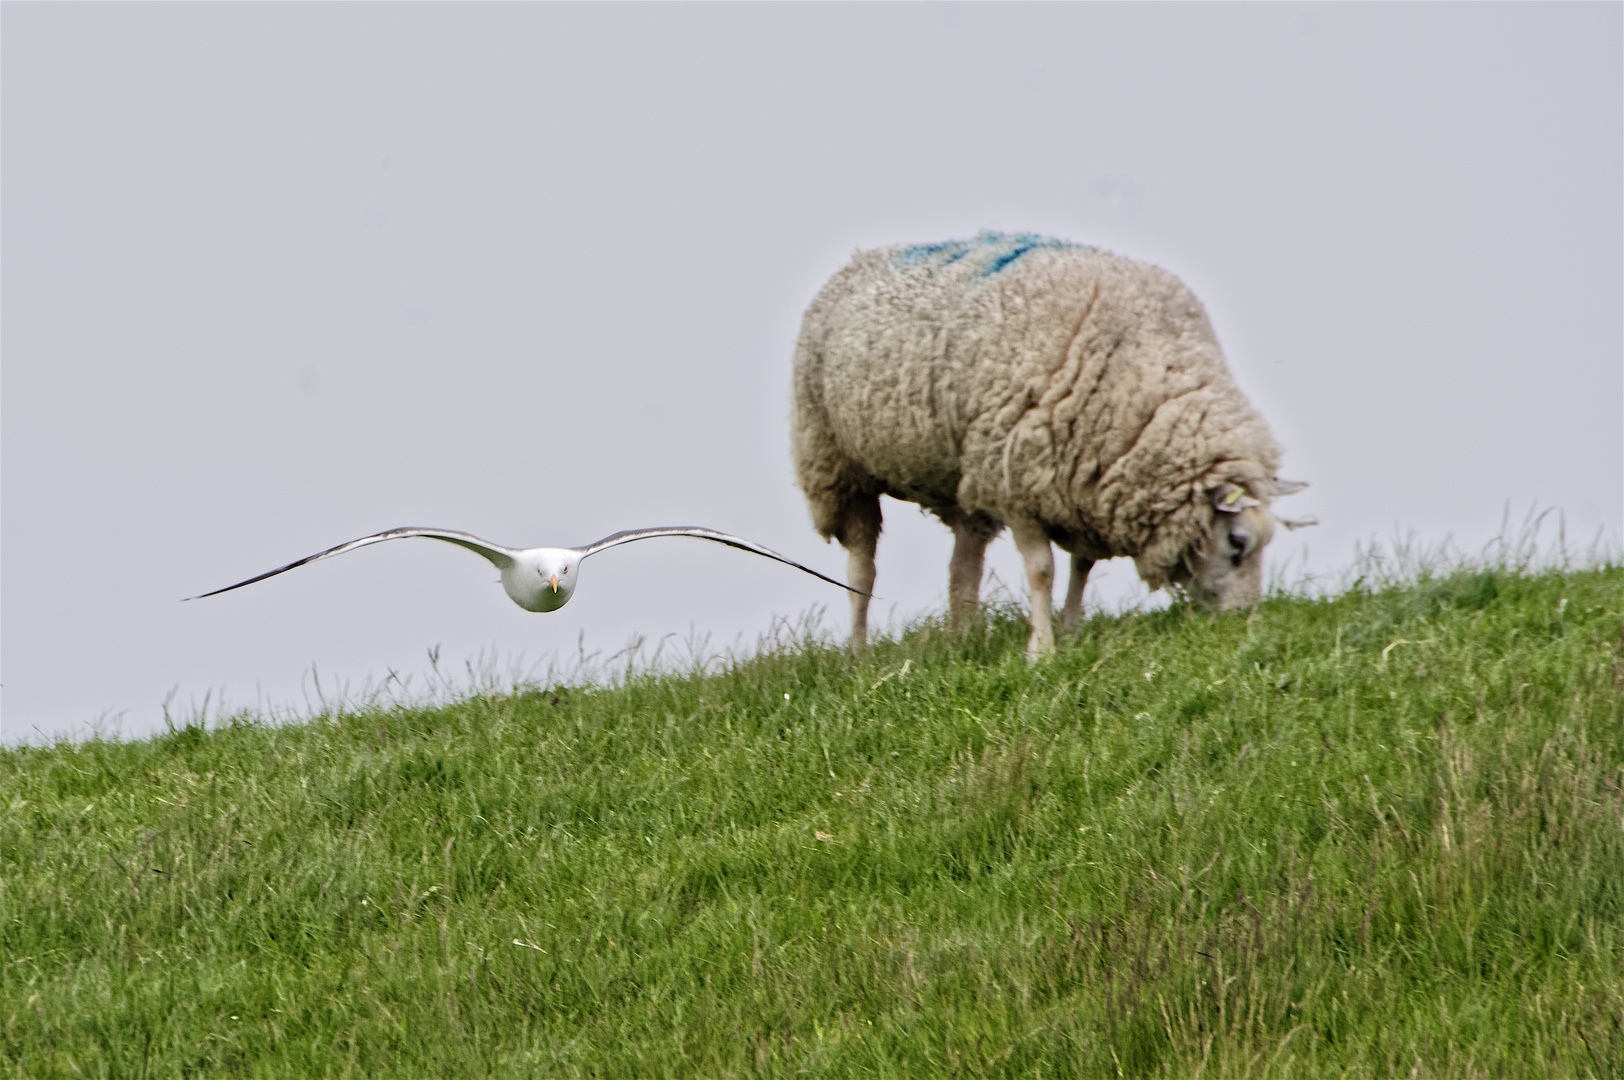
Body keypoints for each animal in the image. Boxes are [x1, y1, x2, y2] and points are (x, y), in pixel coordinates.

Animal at [786, 233, 1305, 656]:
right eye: (1237, 543)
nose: (1242, 619)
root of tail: (860, 258)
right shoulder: (1020, 480)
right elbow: (1042, 571)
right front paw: (1042, 650)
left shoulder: (1086, 485)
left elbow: (1083, 566)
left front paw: (1071, 631)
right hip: (835, 462)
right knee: (861, 568)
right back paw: (858, 654)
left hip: (966, 475)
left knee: (963, 567)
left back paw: (963, 640)